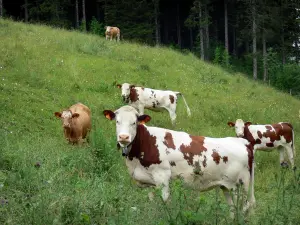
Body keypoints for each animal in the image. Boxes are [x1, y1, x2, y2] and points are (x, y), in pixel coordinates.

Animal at [103, 105, 255, 216]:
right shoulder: (150, 181)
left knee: (245, 207)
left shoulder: (162, 177)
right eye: (117, 121)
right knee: (233, 209)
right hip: (227, 187)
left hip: (242, 187)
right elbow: (151, 200)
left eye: (134, 122)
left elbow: (164, 201)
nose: (123, 137)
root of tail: (243, 142)